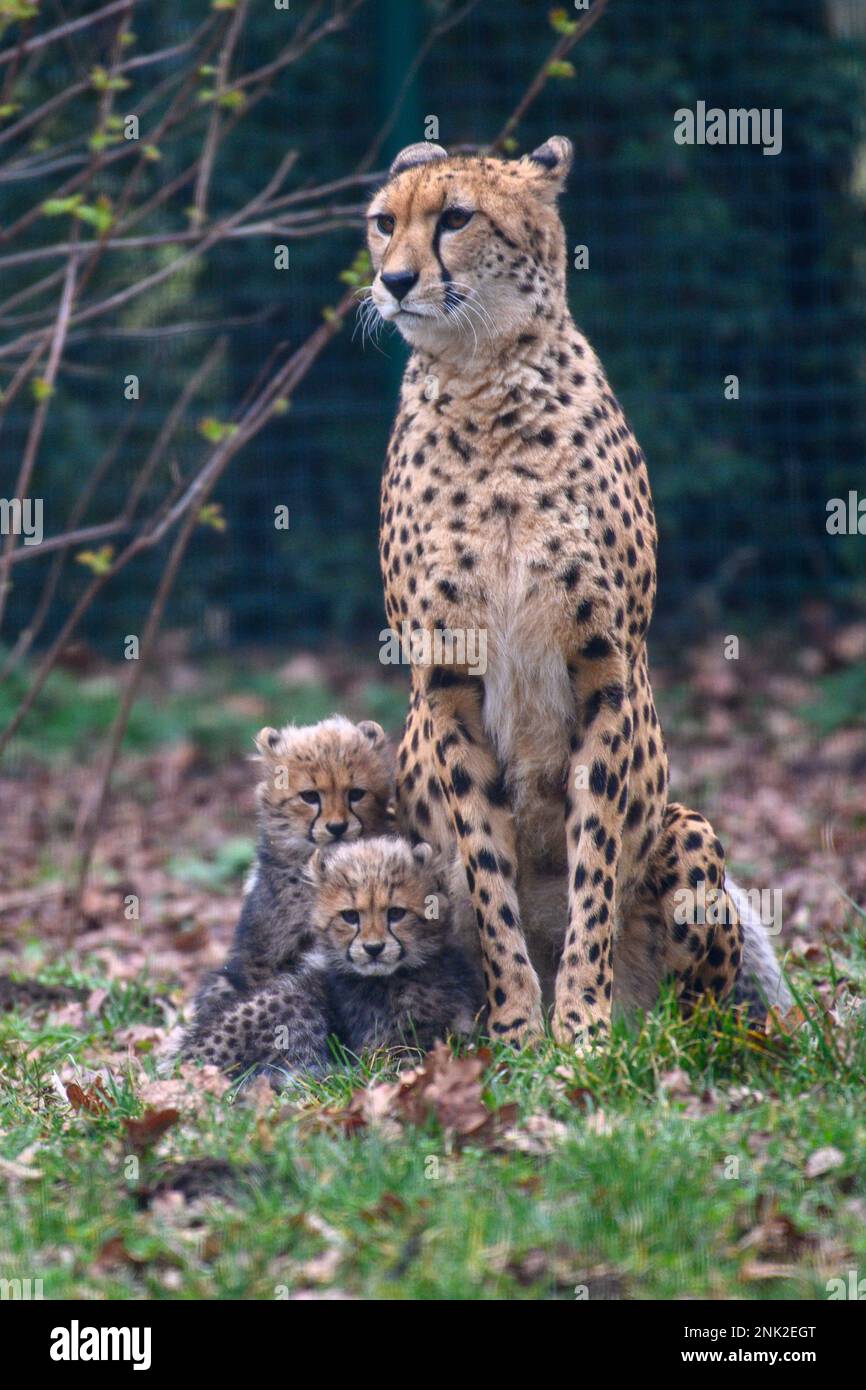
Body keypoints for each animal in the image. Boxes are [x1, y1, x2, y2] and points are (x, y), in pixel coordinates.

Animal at [181, 836, 483, 1081]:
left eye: (396, 913)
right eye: (350, 916)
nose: (374, 948)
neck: (398, 977)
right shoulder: (378, 1048)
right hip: (295, 1006)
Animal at [366, 134, 755, 1047]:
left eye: (456, 217)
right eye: (383, 222)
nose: (393, 281)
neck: (484, 386)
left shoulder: (604, 666)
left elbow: (595, 867)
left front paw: (579, 1024)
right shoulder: (447, 680)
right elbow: (486, 865)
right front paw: (517, 1026)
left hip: (689, 831)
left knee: (703, 1009)